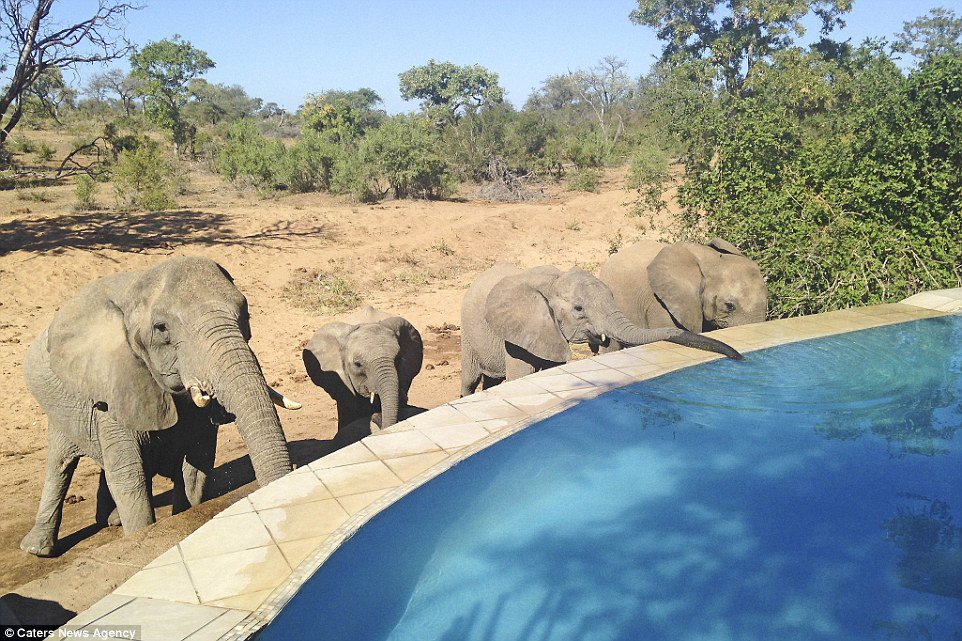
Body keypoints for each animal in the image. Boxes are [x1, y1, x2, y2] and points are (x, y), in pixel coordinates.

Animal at [21, 257, 296, 557]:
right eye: (161, 328)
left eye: (245, 314)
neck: (134, 287)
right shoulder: (114, 381)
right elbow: (129, 476)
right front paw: (139, 534)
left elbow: (197, 465)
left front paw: (182, 514)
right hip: (56, 406)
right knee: (60, 463)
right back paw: (37, 549)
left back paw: (111, 521)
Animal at [459, 262, 743, 396]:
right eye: (578, 309)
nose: (739, 357)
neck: (553, 281)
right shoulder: (518, 334)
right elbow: (521, 375)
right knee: (469, 381)